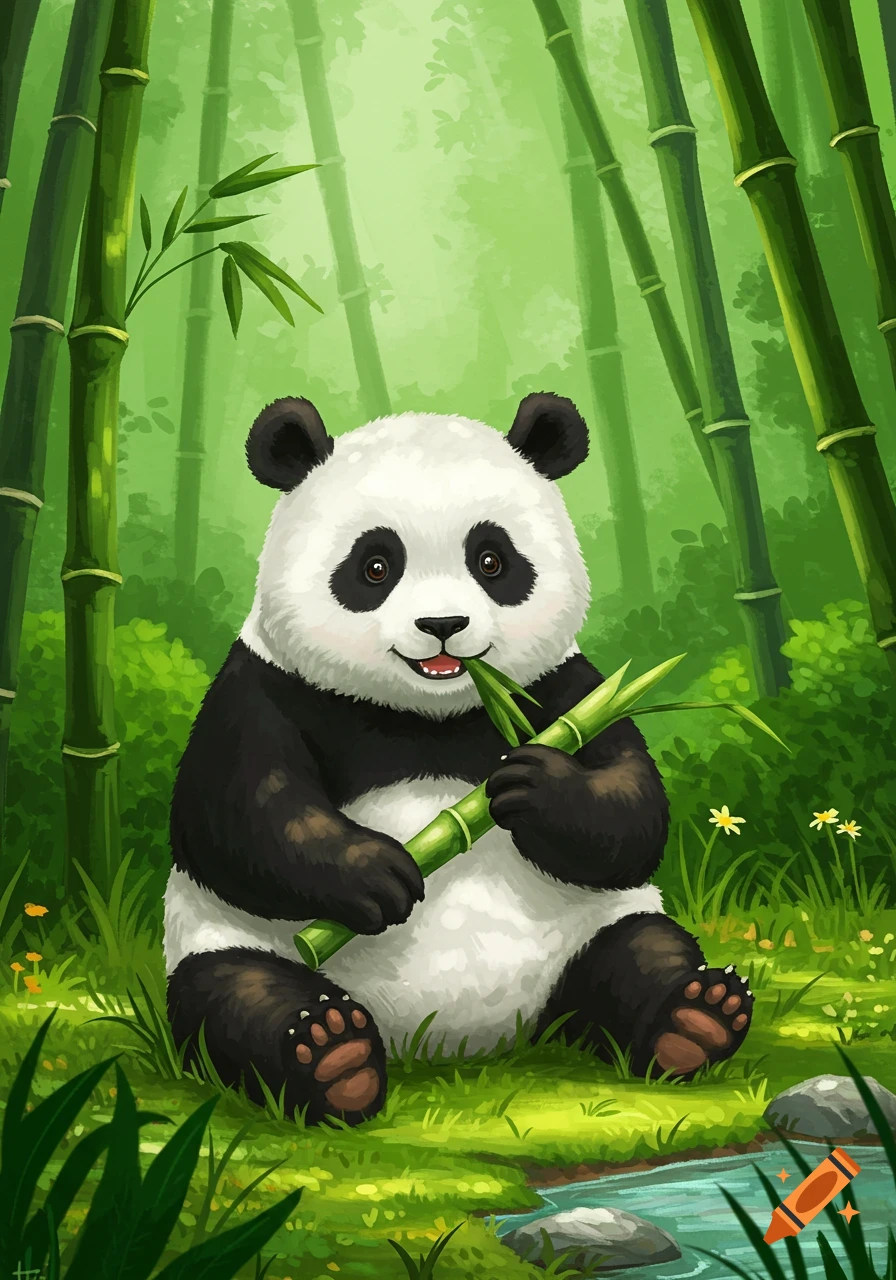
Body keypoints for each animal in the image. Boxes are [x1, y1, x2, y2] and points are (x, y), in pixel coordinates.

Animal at [164, 392, 753, 1126]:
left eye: (492, 560)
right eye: (375, 566)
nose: (442, 626)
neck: (432, 714)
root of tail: (457, 1043)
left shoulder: (568, 691)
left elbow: (631, 809)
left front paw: (536, 789)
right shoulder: (266, 685)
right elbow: (238, 814)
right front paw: (376, 873)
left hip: (592, 929)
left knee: (641, 951)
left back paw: (696, 1019)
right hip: (228, 939)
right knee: (231, 994)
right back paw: (332, 1057)